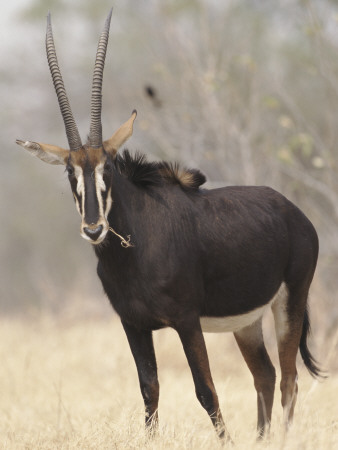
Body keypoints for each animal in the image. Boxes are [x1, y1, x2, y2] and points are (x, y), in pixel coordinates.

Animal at [17, 8, 324, 442]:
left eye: (107, 167)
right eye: (69, 172)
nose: (93, 229)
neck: (135, 250)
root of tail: (296, 215)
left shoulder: (186, 322)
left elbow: (205, 390)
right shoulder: (133, 325)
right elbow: (150, 390)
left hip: (290, 300)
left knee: (289, 379)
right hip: (247, 321)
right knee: (264, 374)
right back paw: (261, 439)